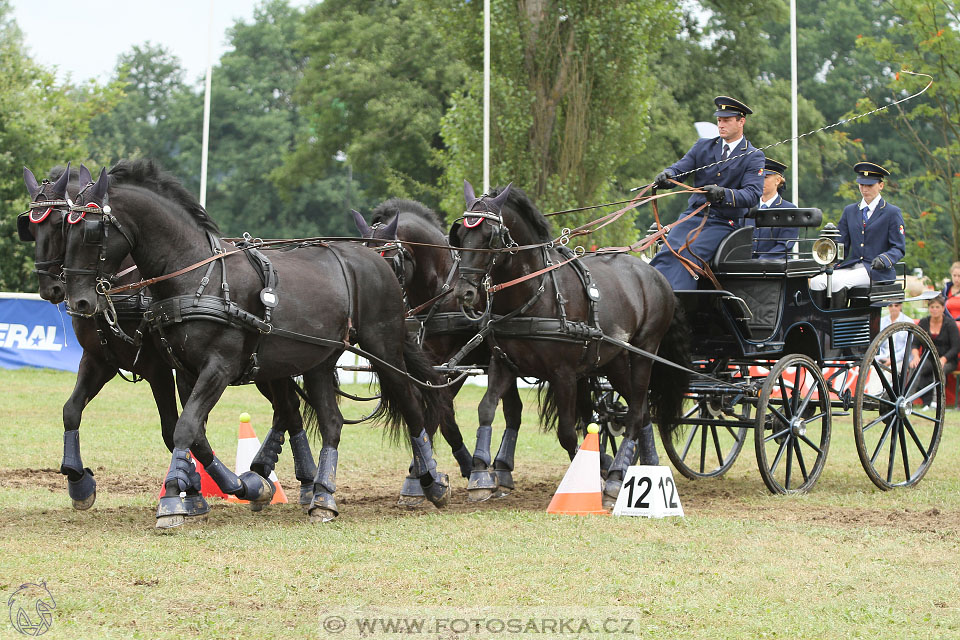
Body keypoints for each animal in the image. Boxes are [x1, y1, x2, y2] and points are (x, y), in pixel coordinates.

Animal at [20, 164, 316, 516]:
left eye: (61, 225)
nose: (54, 290)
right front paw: (79, 482)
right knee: (286, 409)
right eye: (30, 228)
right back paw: (271, 470)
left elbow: (173, 428)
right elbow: (71, 410)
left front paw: (199, 490)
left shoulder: (158, 369)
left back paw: (305, 482)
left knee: (290, 410)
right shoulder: (100, 360)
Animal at [61, 160, 450, 524]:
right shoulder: (184, 370)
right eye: (66, 226)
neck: (195, 274)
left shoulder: (218, 367)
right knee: (332, 422)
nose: (79, 301)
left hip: (383, 349)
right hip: (318, 361)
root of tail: (374, 259)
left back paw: (430, 483)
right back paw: (323, 496)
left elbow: (185, 426)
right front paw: (238, 488)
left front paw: (173, 500)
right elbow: (191, 432)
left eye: (92, 231)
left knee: (412, 406)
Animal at [354, 200, 528, 500]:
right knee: (512, 408)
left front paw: (418, 477)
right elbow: (441, 415)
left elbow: (438, 413)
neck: (441, 291)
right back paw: (502, 469)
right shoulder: (433, 363)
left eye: (390, 260)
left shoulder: (455, 365)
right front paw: (466, 466)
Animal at [452, 179, 688, 504]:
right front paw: (479, 475)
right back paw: (644, 468)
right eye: (460, 234)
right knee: (640, 410)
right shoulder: (503, 363)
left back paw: (616, 478)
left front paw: (589, 478)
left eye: (489, 237)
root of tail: (654, 272)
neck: (533, 294)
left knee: (636, 411)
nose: (464, 293)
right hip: (614, 360)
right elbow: (486, 409)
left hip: (644, 353)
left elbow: (567, 432)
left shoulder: (563, 375)